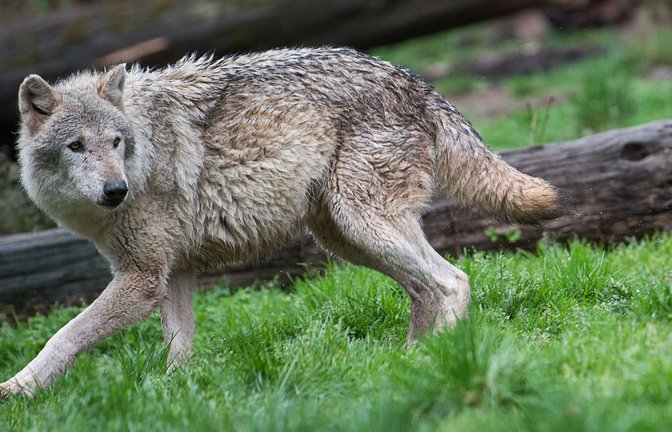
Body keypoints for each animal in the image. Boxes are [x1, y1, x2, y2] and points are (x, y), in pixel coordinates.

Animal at [1, 47, 564, 397]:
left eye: (116, 142)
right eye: (77, 146)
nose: (115, 191)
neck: (144, 150)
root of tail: (415, 82)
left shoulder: (141, 280)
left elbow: (63, 336)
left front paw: (18, 390)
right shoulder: (173, 273)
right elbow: (178, 350)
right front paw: (174, 395)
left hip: (361, 226)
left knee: (453, 281)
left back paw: (435, 362)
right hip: (347, 239)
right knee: (426, 290)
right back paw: (405, 363)